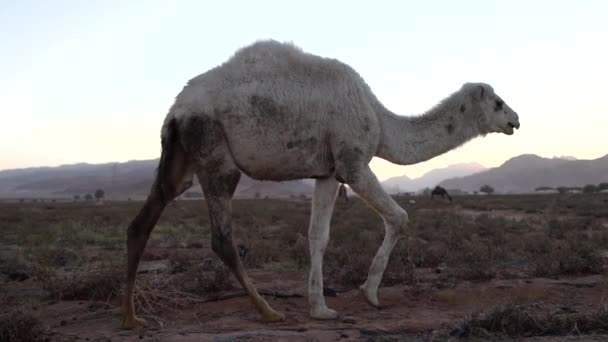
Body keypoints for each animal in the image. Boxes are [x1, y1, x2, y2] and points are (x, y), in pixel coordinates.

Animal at [121, 38, 520, 328]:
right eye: (498, 102)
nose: (515, 120)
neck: (380, 120)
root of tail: (176, 109)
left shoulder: (327, 172)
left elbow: (318, 236)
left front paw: (320, 308)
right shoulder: (352, 162)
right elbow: (399, 217)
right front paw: (370, 293)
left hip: (180, 158)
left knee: (143, 220)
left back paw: (131, 317)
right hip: (213, 149)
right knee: (221, 237)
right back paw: (268, 311)